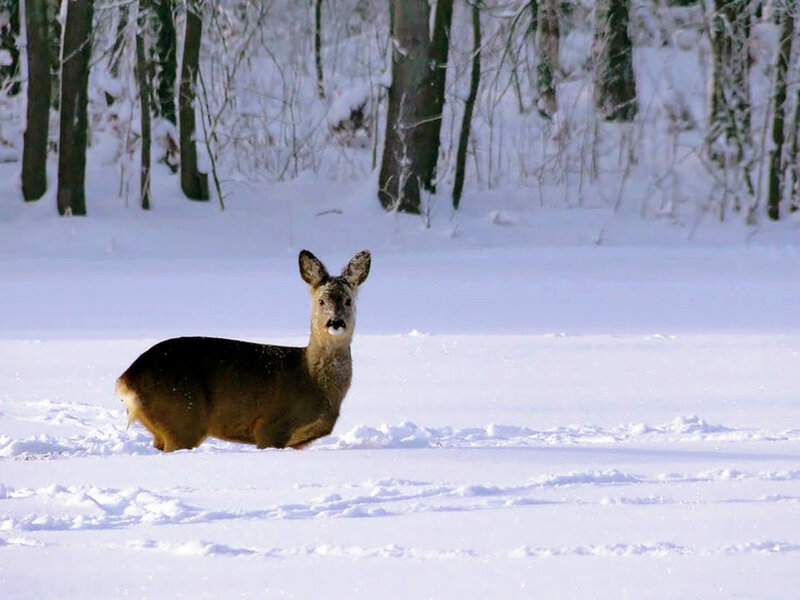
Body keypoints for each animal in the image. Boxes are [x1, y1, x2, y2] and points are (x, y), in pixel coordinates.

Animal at [116, 249, 371, 452]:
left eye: (348, 301)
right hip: (182, 416)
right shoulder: (271, 426)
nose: (335, 322)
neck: (312, 379)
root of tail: (126, 379)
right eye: (321, 301)